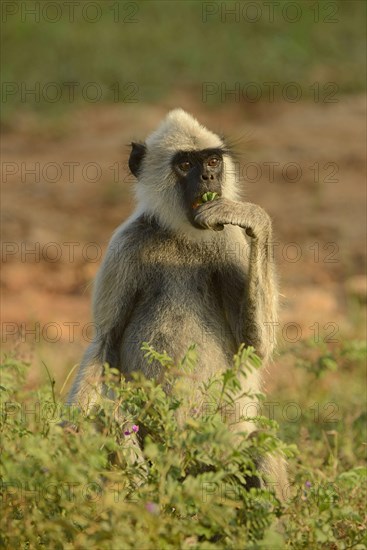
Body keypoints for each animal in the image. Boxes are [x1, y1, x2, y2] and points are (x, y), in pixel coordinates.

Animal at [67, 110, 288, 498]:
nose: (210, 177)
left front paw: (253, 218)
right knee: (111, 418)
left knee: (262, 442)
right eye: (186, 164)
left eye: (212, 161)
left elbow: (256, 348)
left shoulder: (229, 241)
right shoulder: (127, 244)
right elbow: (104, 342)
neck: (182, 235)